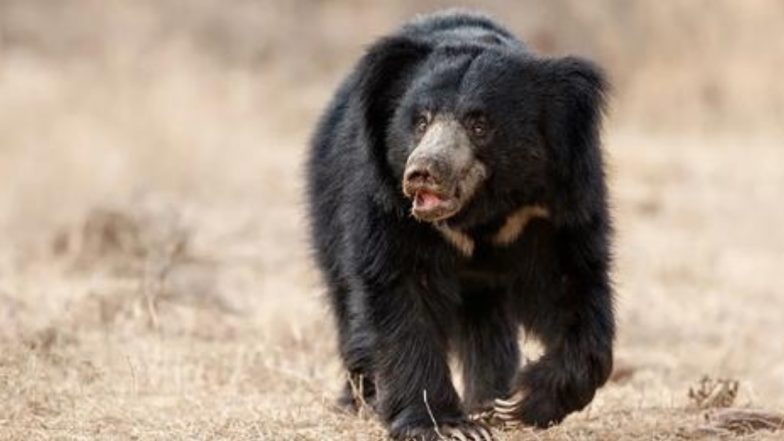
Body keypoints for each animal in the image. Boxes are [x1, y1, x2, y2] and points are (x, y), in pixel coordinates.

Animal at [304, 10, 616, 440]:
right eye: (420, 121)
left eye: (479, 124)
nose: (422, 173)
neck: (480, 214)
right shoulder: (387, 206)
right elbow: (402, 294)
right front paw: (444, 425)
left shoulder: (554, 206)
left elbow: (572, 287)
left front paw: (519, 403)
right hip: (328, 205)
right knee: (347, 303)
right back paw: (363, 399)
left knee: (488, 324)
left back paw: (489, 399)